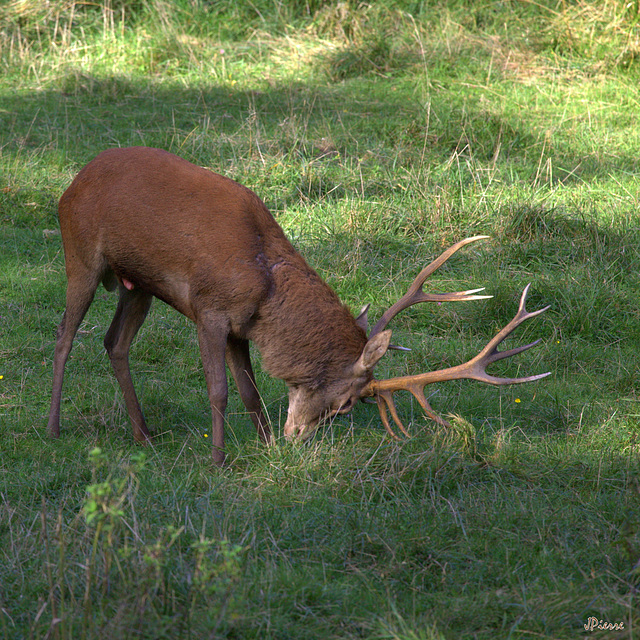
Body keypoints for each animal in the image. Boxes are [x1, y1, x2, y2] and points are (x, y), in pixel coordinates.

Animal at [48, 146, 552, 464]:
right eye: (348, 403)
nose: (297, 439)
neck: (266, 286)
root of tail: (74, 181)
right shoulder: (209, 310)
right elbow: (220, 390)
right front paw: (218, 459)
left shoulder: (241, 326)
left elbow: (250, 391)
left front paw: (266, 448)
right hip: (80, 253)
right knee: (64, 335)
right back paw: (53, 428)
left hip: (138, 286)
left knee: (114, 343)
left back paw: (144, 434)